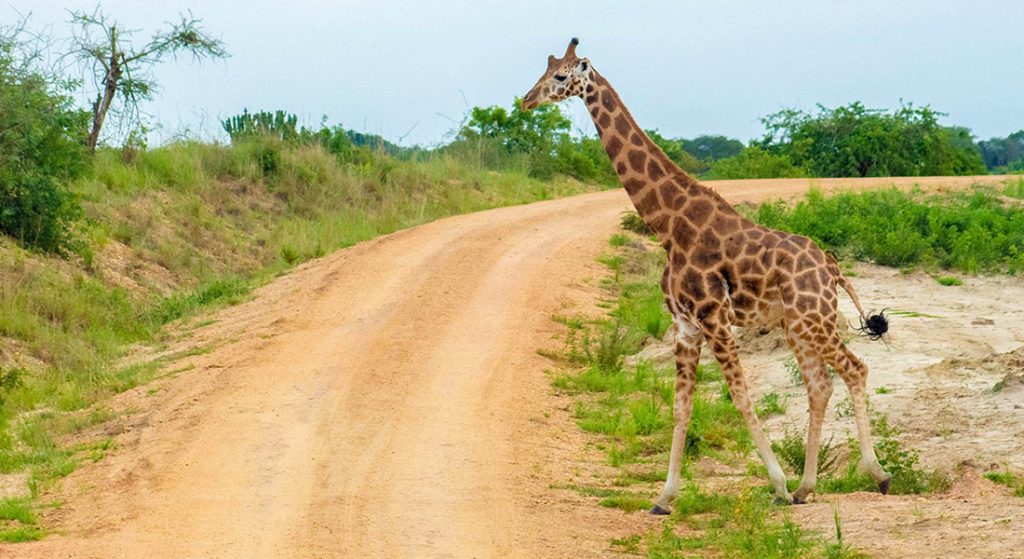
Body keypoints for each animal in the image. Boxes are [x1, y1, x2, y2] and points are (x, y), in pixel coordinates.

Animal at [524, 36, 892, 511]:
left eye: (560, 76)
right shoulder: (685, 325)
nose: (526, 100)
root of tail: (832, 266)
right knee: (820, 385)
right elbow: (681, 406)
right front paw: (664, 498)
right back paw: (806, 488)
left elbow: (740, 395)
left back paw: (876, 475)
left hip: (815, 319)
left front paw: (776, 484)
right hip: (797, 325)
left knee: (855, 369)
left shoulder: (714, 318)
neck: (668, 226)